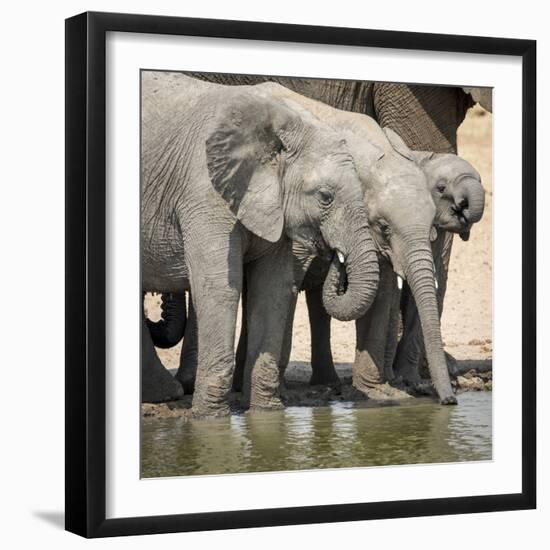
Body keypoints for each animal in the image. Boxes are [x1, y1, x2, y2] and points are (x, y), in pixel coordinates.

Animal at [140, 73, 382, 418]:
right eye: (325, 197)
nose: (336, 256)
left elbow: (273, 290)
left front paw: (267, 414)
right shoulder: (204, 194)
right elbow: (219, 289)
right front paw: (210, 421)